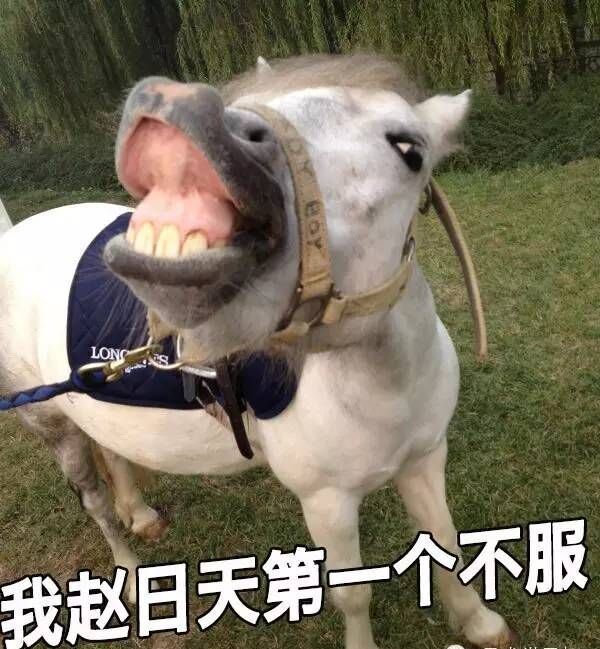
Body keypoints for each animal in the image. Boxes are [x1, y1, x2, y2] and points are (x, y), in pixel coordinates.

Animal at [0, 55, 516, 648]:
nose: (187, 112)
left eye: (411, 151)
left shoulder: (425, 458)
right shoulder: (327, 500)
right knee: (96, 505)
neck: (388, 385)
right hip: (51, 425)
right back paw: (126, 575)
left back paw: (140, 514)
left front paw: (480, 622)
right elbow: (353, 594)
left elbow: (446, 544)